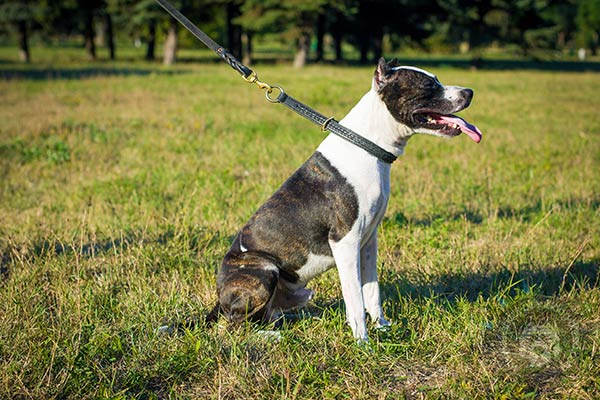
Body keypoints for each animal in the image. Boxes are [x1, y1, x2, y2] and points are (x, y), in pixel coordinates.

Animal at [206, 57, 482, 342]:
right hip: (264, 269)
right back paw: (272, 336)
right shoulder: (345, 242)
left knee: (267, 315)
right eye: (428, 85)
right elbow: (354, 298)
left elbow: (371, 292)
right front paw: (363, 343)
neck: (367, 144)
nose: (469, 92)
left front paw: (382, 327)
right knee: (235, 327)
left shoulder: (368, 241)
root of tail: (220, 299)